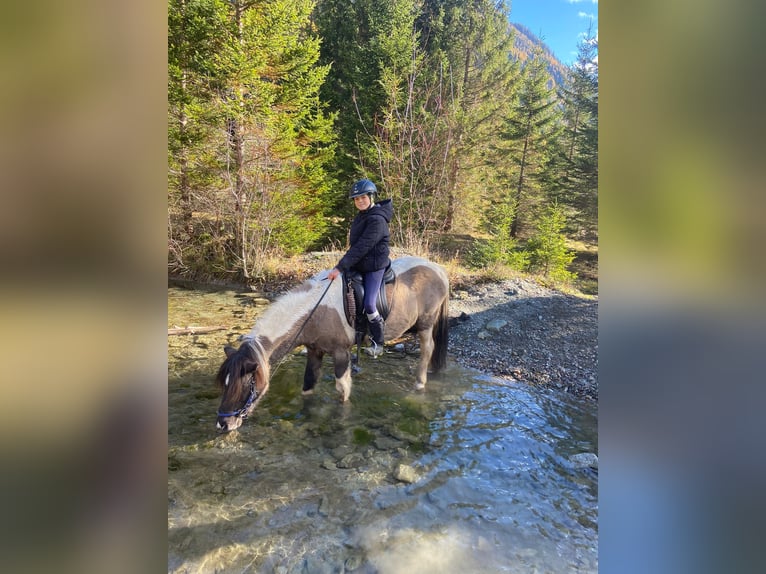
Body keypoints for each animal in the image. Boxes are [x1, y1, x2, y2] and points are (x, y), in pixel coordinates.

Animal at [214, 256, 450, 431]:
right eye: (225, 383)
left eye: (246, 385)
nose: (223, 424)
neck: (316, 311)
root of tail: (438, 269)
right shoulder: (314, 351)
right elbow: (308, 384)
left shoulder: (341, 353)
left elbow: (342, 390)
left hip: (425, 325)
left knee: (427, 349)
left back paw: (419, 383)